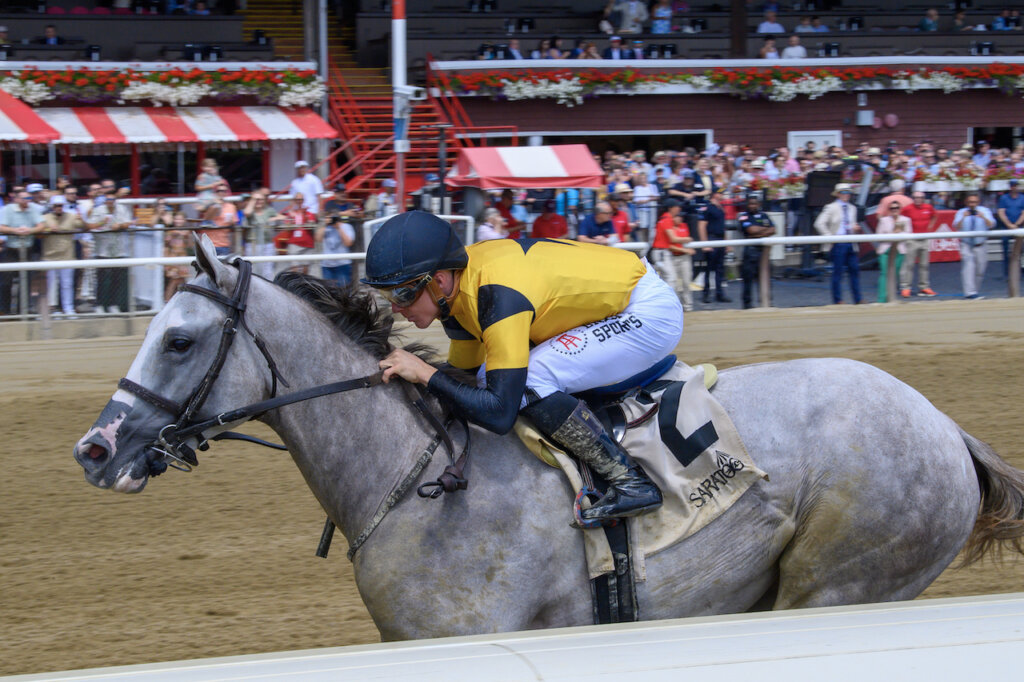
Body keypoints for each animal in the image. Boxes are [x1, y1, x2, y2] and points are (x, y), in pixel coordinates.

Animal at [74, 237, 1024, 638]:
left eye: (179, 340)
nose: (96, 448)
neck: (419, 483)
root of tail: (944, 425)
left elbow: (509, 390)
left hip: (841, 582)